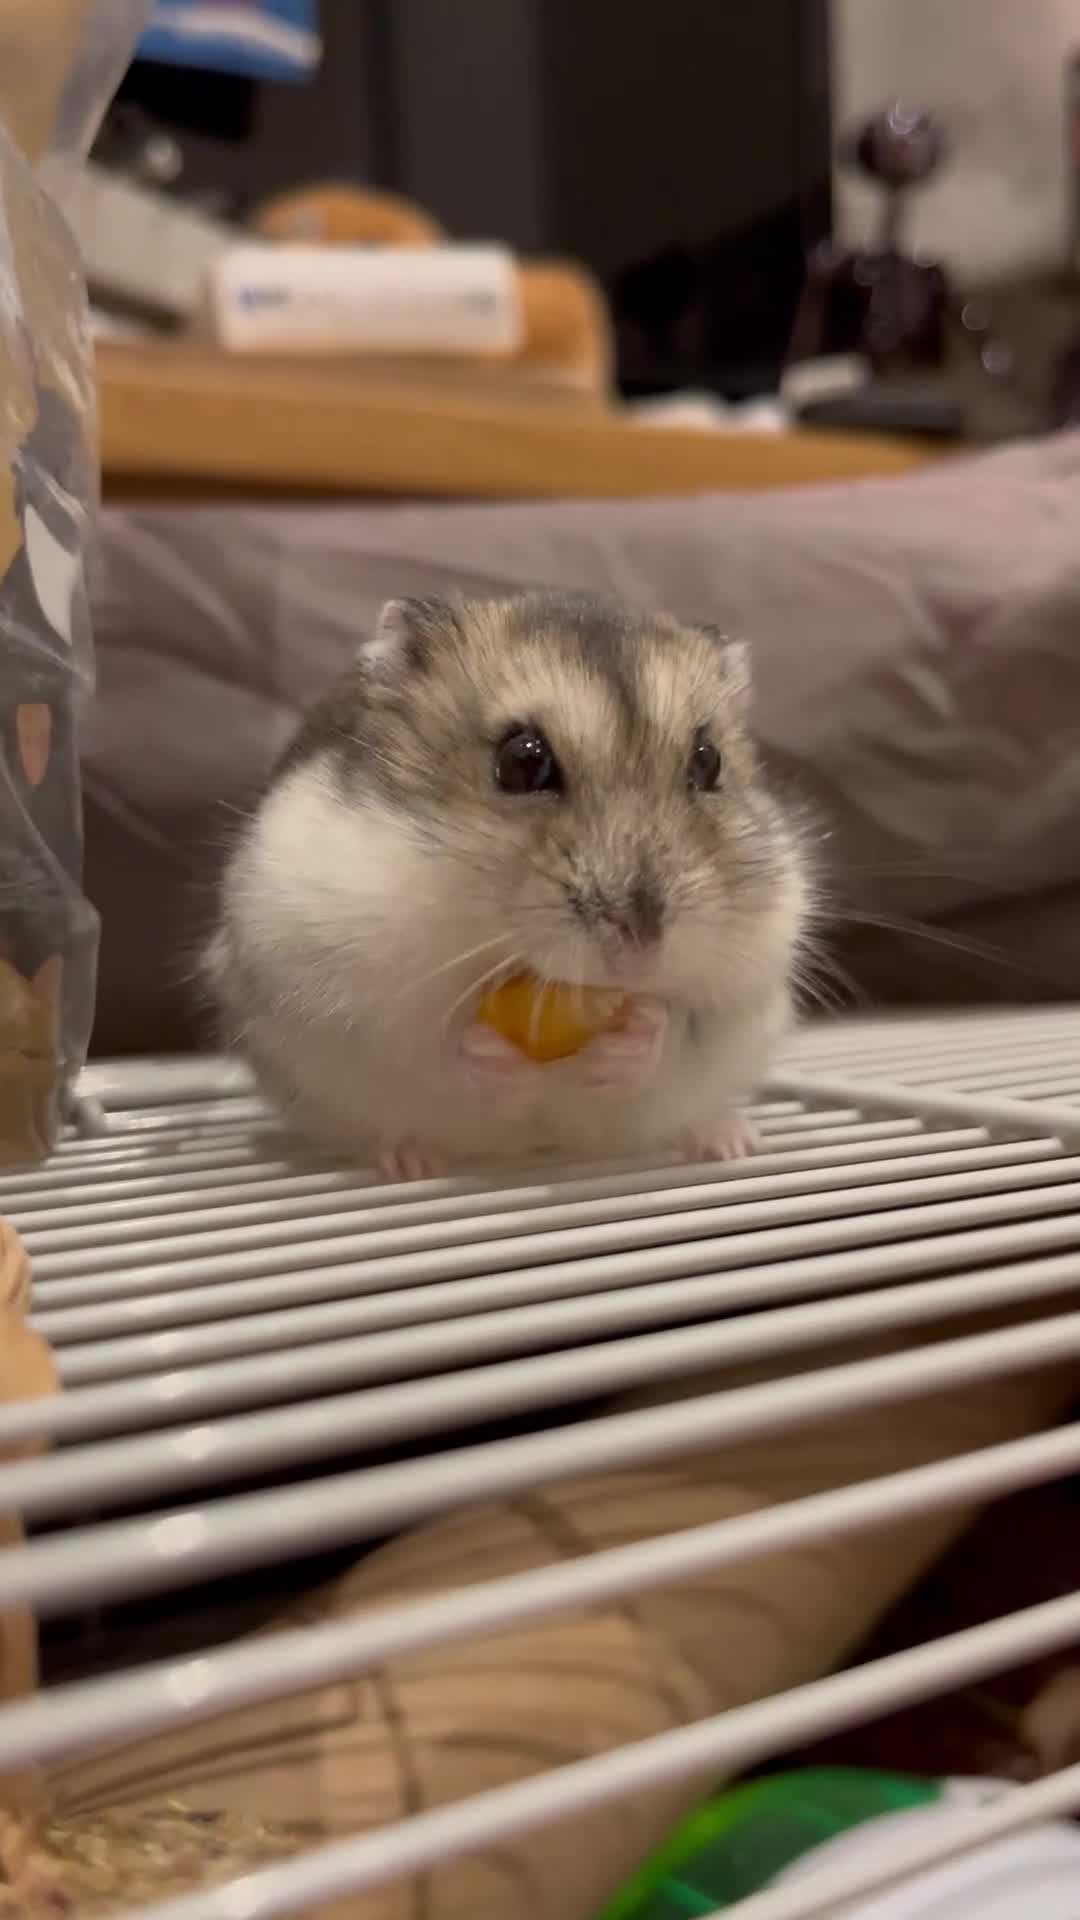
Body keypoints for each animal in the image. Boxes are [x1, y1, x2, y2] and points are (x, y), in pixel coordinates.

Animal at [206, 591, 808, 1179]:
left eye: (709, 762)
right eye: (521, 761)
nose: (639, 950)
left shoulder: (750, 975)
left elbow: (678, 1026)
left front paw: (637, 1034)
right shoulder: (335, 983)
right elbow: (432, 1045)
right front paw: (488, 1056)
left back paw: (729, 1141)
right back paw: (407, 1162)